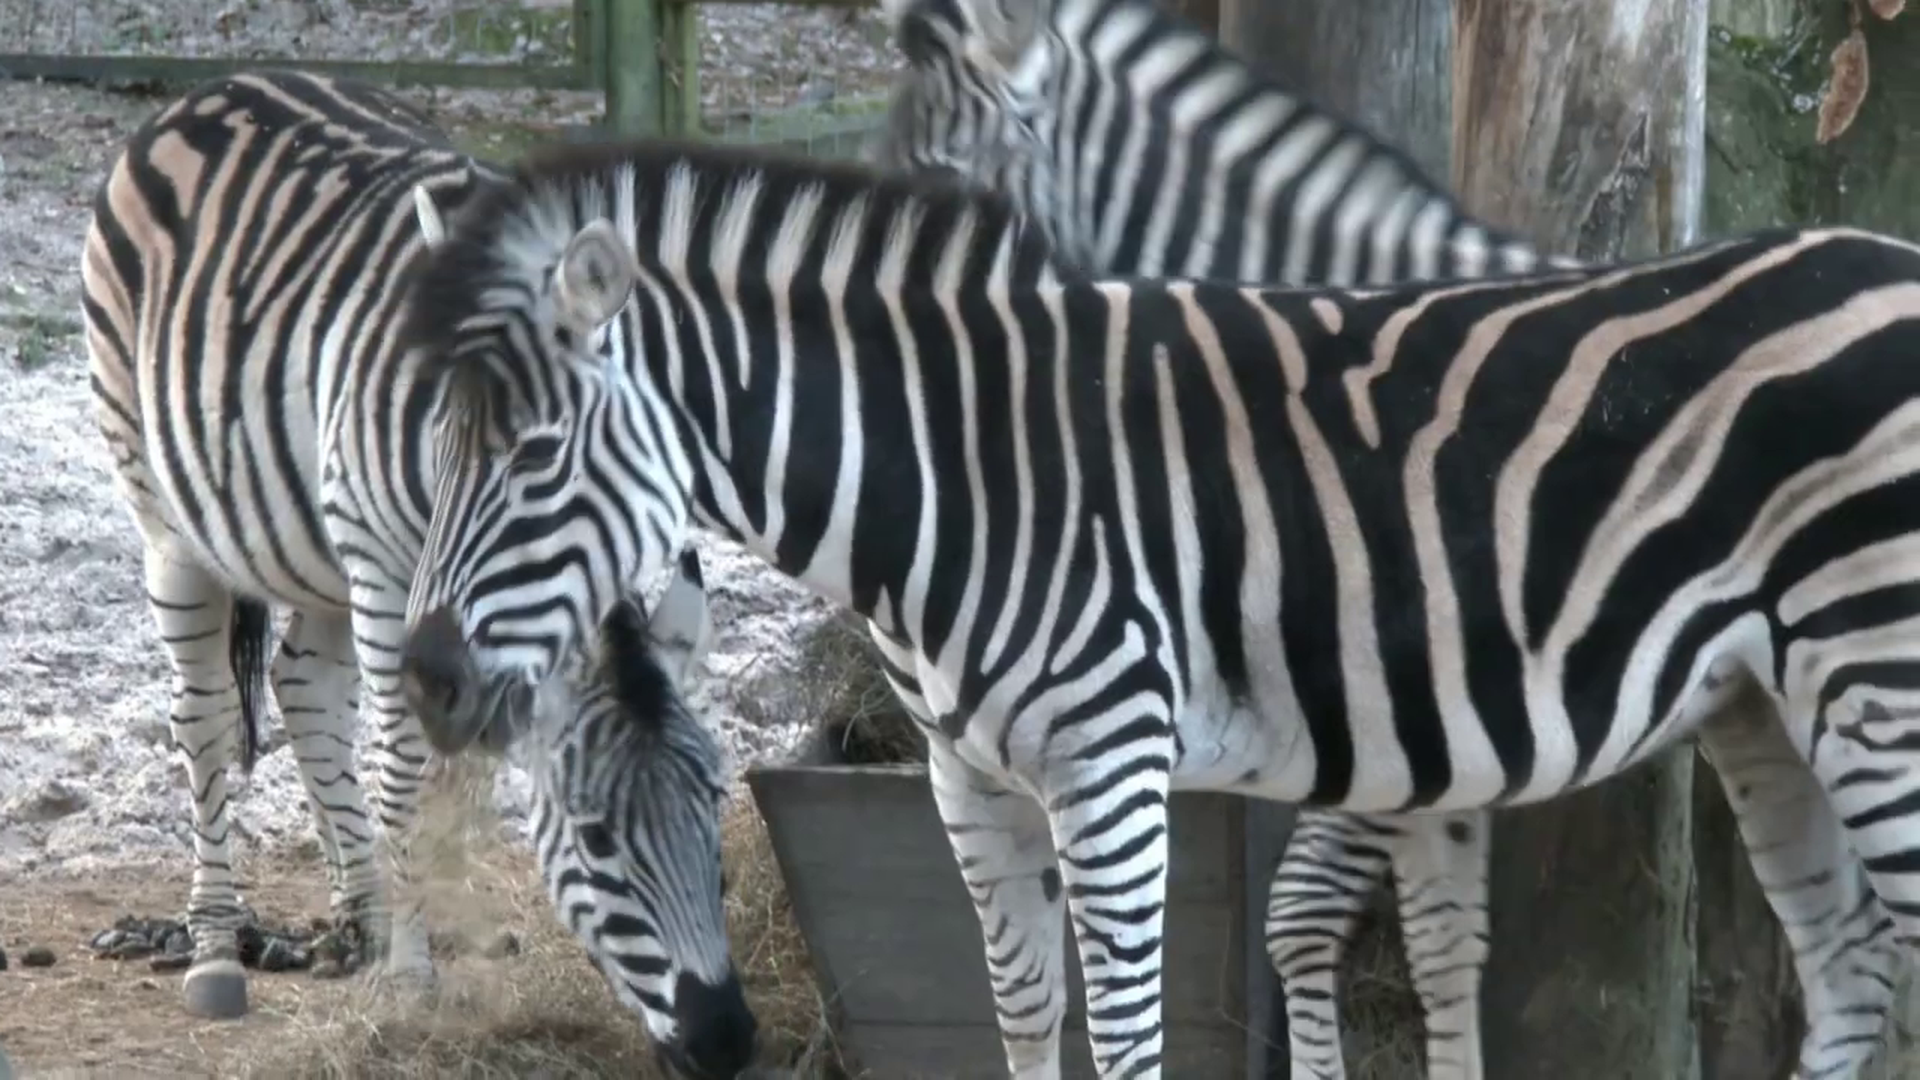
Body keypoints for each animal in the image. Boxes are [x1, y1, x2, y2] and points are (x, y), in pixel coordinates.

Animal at [84, 75, 756, 1076]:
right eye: (596, 840)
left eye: (715, 812)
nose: (726, 1042)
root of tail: (214, 89)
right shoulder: (398, 580)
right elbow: (408, 769)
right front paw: (411, 976)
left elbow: (462, 775)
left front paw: (448, 944)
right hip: (174, 515)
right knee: (202, 718)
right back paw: (214, 947)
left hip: (315, 545)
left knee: (302, 687)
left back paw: (359, 914)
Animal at [389, 136, 1920, 1076]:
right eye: (436, 441)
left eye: (532, 455)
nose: (428, 683)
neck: (963, 476)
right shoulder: (967, 783)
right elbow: (1022, 1020)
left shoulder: (1111, 767)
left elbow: (1127, 1039)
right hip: (1759, 705)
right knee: (1850, 970)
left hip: (1875, 679)